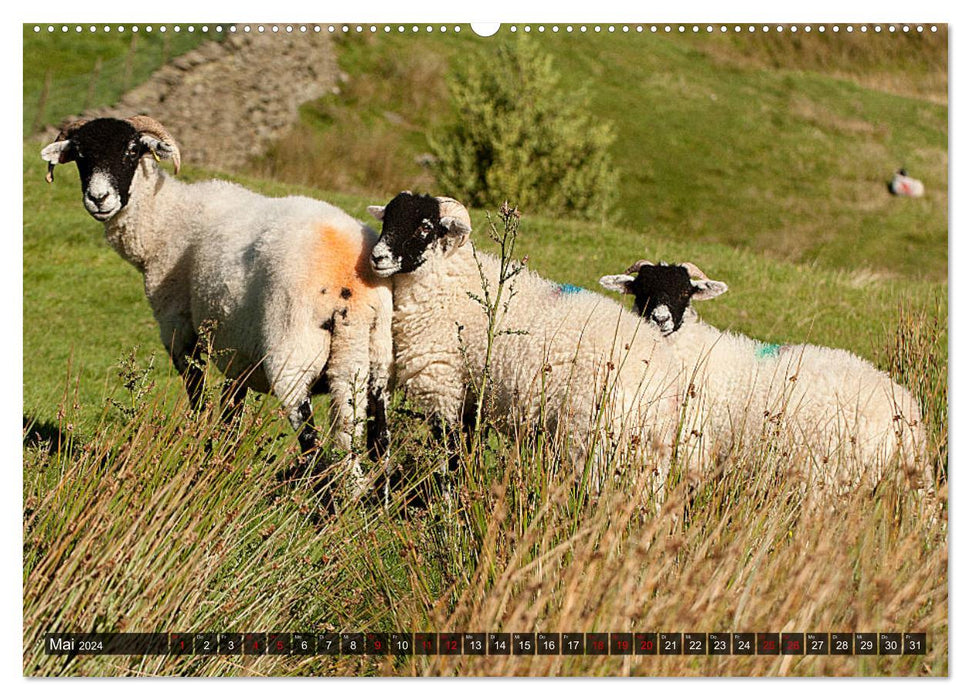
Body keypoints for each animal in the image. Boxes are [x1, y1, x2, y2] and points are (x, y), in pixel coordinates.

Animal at [364, 189, 684, 490]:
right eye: (387, 219)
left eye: (425, 227)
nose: (377, 257)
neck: (450, 284)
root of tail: (663, 381)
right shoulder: (470, 394)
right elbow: (466, 446)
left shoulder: (442, 382)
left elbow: (449, 451)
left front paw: (448, 499)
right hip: (645, 448)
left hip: (592, 434)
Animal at [596, 258, 932, 492]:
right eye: (642, 289)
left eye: (685, 291)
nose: (661, 319)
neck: (690, 353)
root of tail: (909, 418)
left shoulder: (697, 445)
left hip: (830, 475)